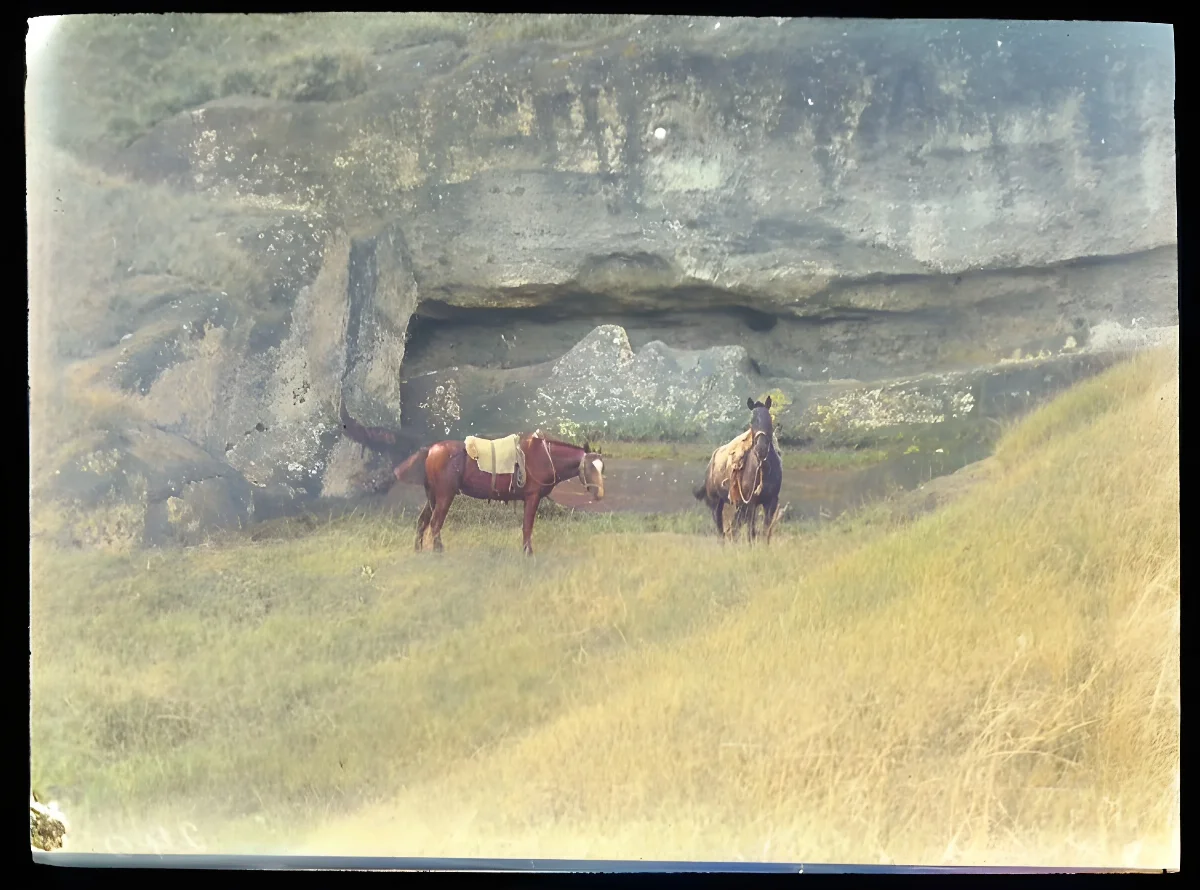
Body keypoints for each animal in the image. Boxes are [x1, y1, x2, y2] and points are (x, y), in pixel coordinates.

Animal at [694, 396, 783, 543]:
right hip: (716, 504)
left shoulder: (771, 502)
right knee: (721, 531)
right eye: (752, 422)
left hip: (738, 506)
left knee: (733, 528)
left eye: (769, 419)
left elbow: (765, 532)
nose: (761, 449)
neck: (762, 470)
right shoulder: (751, 503)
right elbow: (751, 532)